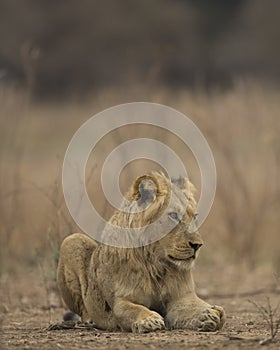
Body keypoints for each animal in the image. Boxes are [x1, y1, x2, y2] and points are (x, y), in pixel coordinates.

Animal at [57, 172, 225, 334]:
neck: (156, 265)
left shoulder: (181, 297)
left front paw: (210, 314)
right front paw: (149, 320)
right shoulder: (121, 301)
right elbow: (135, 309)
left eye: (194, 216)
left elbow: (194, 307)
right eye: (173, 215)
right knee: (84, 311)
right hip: (72, 240)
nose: (197, 245)